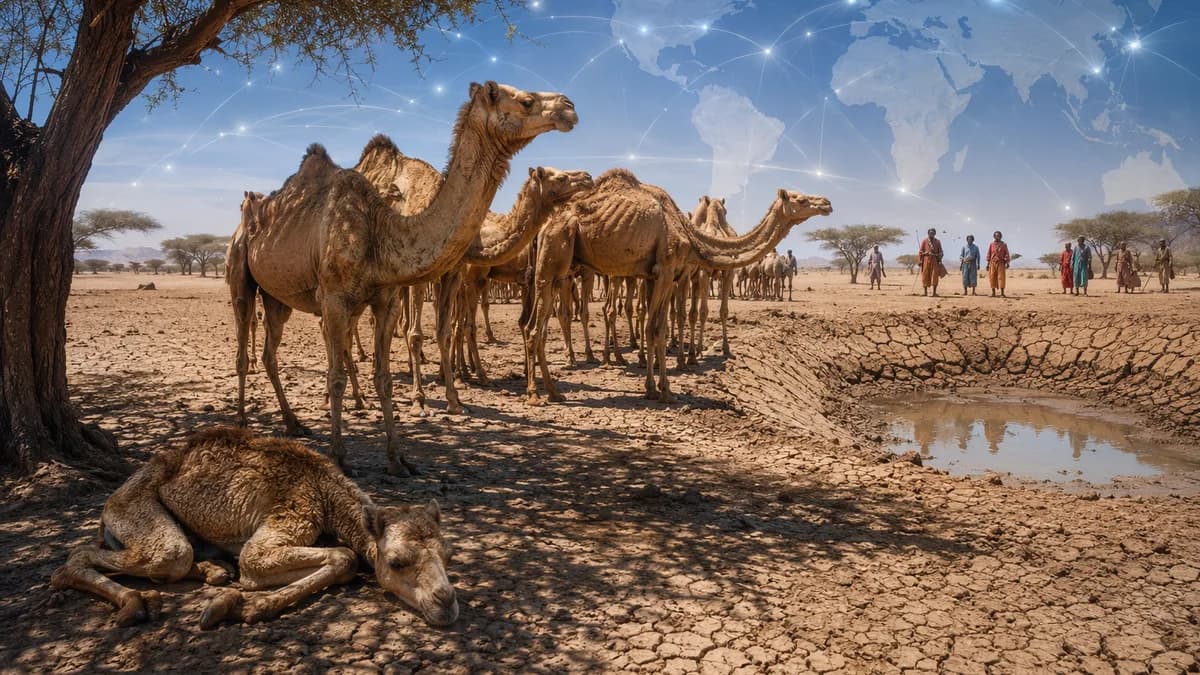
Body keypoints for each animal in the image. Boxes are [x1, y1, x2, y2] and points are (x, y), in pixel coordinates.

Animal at [50, 427, 457, 628]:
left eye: (448, 556)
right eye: (397, 562)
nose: (447, 602)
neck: (326, 494)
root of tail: (108, 506)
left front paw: (232, 600)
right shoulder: (293, 515)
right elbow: (344, 557)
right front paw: (236, 606)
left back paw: (213, 571)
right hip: (136, 509)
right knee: (89, 557)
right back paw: (135, 604)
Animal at [228, 81, 577, 475]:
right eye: (526, 100)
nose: (569, 106)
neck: (381, 228)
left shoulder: (387, 298)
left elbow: (385, 375)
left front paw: (398, 458)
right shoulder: (336, 298)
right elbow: (338, 375)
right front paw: (341, 456)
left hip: (278, 297)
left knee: (271, 351)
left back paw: (293, 423)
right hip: (242, 275)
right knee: (243, 344)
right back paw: (242, 421)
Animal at [524, 169, 831, 404]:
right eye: (801, 199)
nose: (827, 203)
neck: (690, 234)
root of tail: (542, 226)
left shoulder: (652, 275)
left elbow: (655, 325)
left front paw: (652, 386)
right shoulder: (666, 269)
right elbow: (655, 328)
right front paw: (665, 391)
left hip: (559, 267)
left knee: (533, 325)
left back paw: (552, 390)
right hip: (555, 257)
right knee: (536, 327)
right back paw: (538, 394)